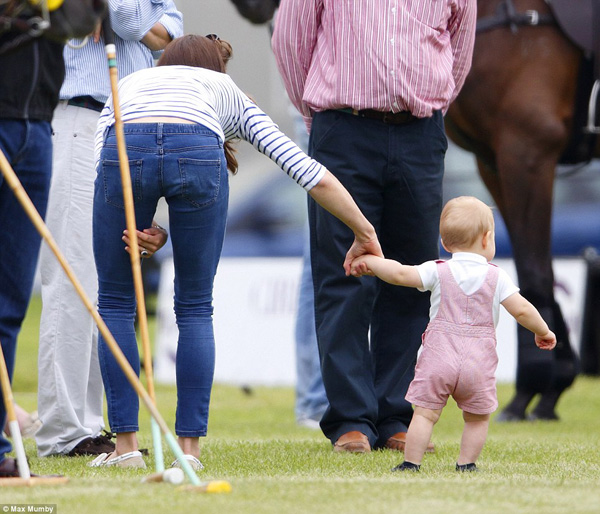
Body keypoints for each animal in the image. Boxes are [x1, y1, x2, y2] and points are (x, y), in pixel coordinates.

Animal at [442, 0, 596, 418]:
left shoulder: (527, 152)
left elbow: (534, 269)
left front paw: (530, 386)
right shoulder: (493, 161)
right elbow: (535, 269)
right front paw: (552, 386)